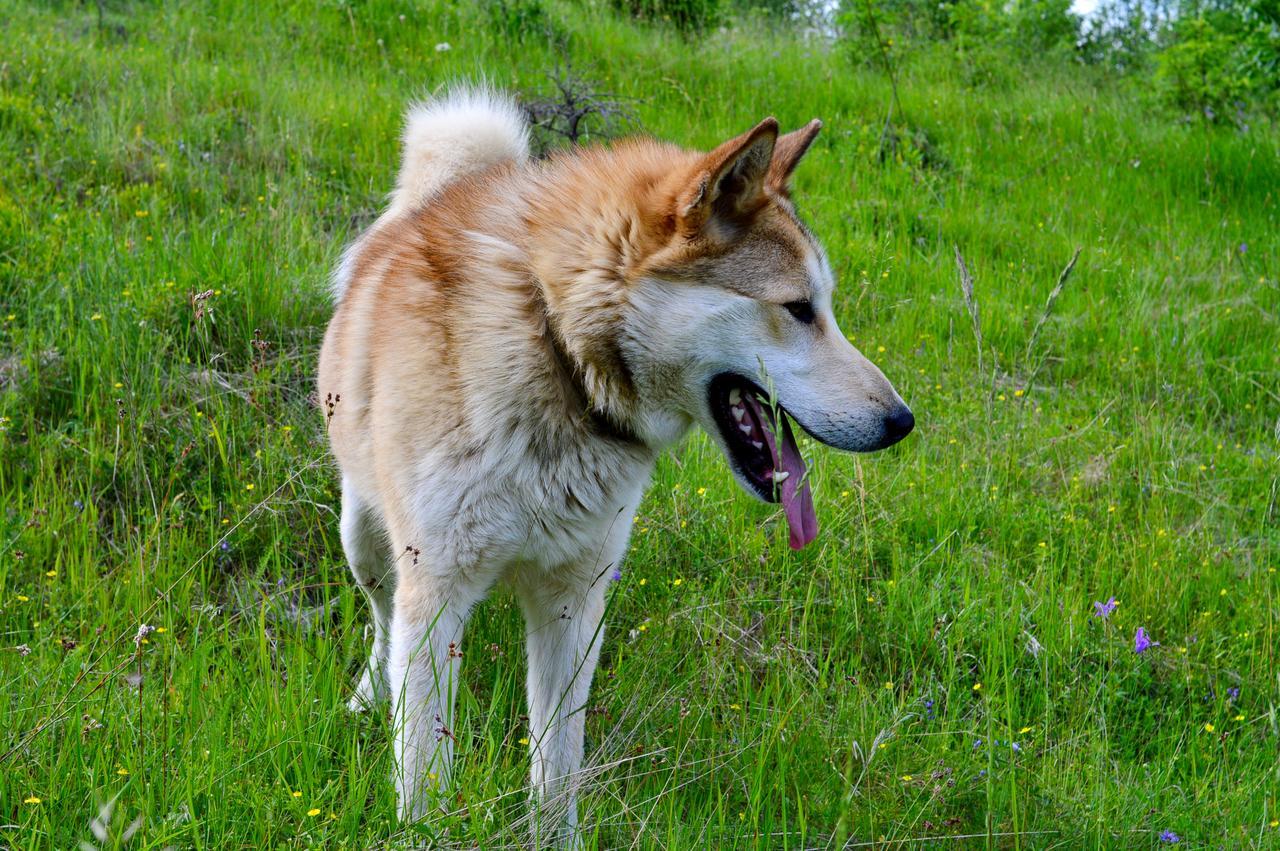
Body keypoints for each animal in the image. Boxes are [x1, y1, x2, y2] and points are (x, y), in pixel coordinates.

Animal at [320, 83, 921, 839]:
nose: (902, 422)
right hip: (367, 542)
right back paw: (367, 693)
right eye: (798, 308)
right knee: (380, 620)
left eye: (827, 306)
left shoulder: (574, 603)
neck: (557, 349)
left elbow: (556, 772)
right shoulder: (435, 596)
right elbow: (424, 770)